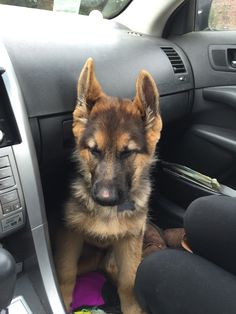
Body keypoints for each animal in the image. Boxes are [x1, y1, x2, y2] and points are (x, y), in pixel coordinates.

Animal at [55, 57, 162, 312]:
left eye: (128, 153)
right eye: (94, 150)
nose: (105, 199)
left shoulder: (130, 240)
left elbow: (129, 282)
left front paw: (133, 308)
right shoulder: (69, 234)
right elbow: (66, 273)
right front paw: (63, 301)